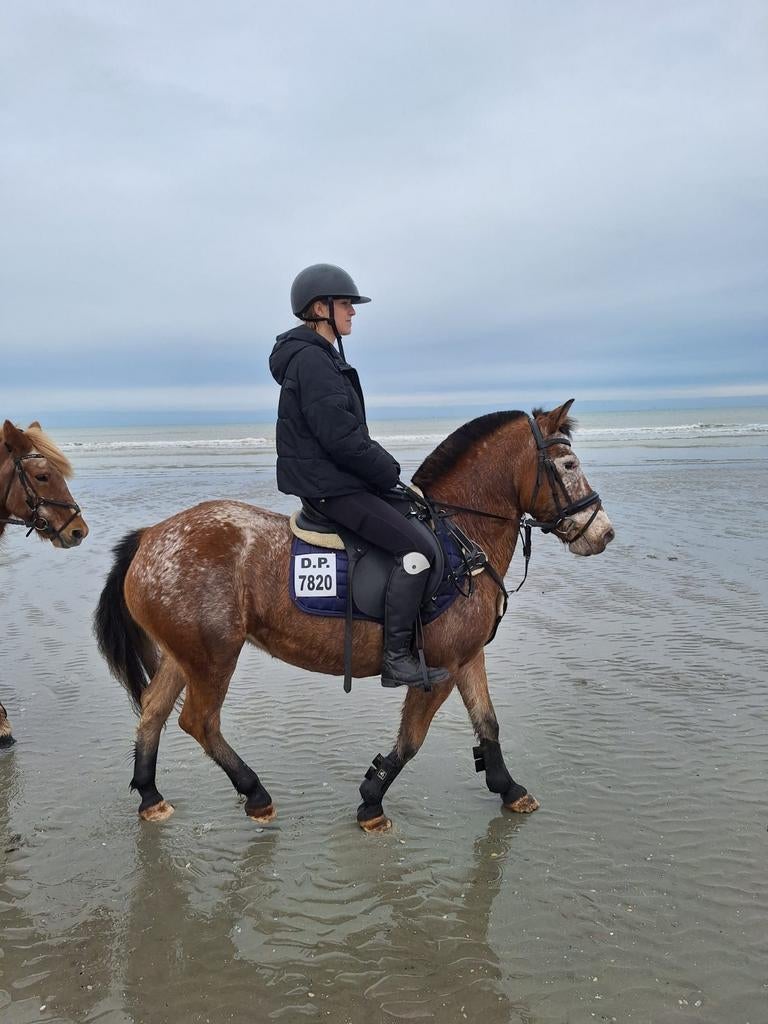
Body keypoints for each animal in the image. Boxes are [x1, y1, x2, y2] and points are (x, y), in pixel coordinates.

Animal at [95, 400, 614, 831]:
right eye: (568, 464)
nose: (603, 532)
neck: (460, 536)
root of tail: (150, 536)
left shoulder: (467, 658)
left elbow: (488, 724)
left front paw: (509, 789)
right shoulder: (438, 669)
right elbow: (412, 739)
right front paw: (371, 801)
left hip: (183, 655)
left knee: (153, 710)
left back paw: (150, 796)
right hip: (212, 656)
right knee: (199, 721)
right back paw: (255, 794)